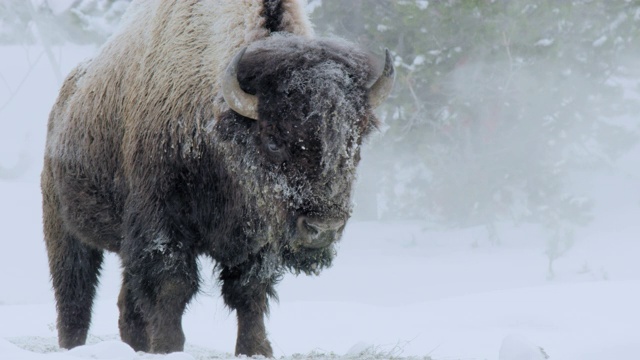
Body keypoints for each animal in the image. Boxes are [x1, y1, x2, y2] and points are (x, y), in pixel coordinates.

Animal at [42, 0, 392, 358]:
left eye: (356, 140)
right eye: (273, 140)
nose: (323, 228)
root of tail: (64, 101)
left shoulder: (259, 238)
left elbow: (250, 291)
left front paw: (256, 349)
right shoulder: (160, 227)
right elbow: (172, 287)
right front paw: (169, 347)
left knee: (127, 307)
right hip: (64, 230)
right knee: (75, 296)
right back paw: (73, 344)